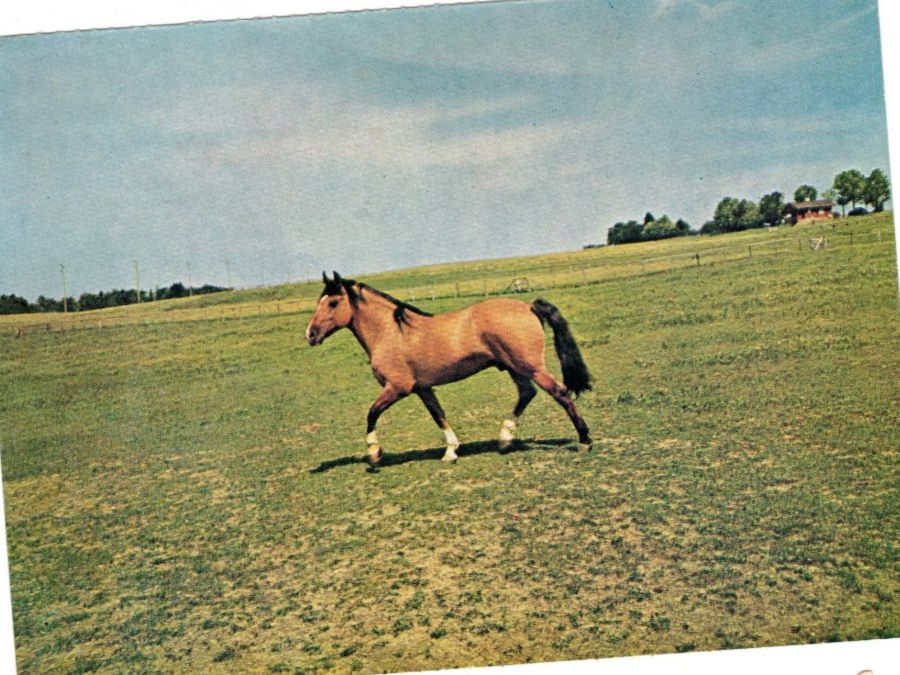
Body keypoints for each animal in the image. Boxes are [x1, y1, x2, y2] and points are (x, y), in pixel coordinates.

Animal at [305, 271, 593, 465]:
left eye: (332, 303)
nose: (311, 334)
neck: (391, 332)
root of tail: (528, 306)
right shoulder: (423, 389)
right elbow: (438, 415)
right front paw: (451, 451)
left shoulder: (397, 388)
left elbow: (372, 413)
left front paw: (374, 453)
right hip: (514, 367)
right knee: (527, 393)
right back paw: (504, 439)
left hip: (530, 366)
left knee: (560, 392)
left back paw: (585, 441)